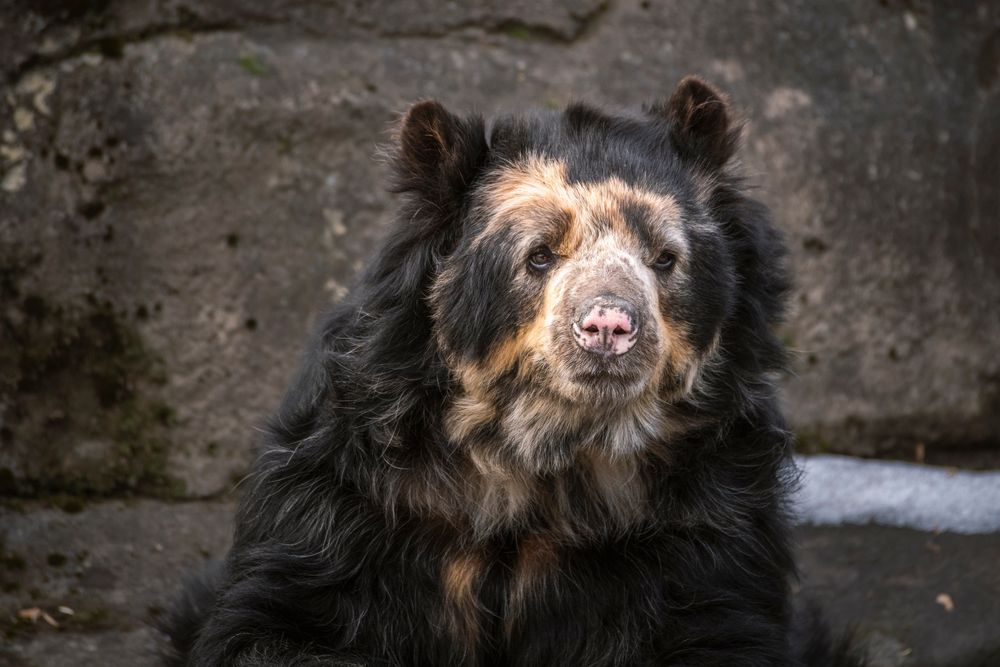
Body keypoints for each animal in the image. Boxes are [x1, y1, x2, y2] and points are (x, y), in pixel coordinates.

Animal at [163, 76, 864, 667]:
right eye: (539, 256)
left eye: (665, 258)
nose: (608, 327)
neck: (541, 456)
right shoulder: (344, 500)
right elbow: (281, 621)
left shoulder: (710, 524)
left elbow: (715, 625)